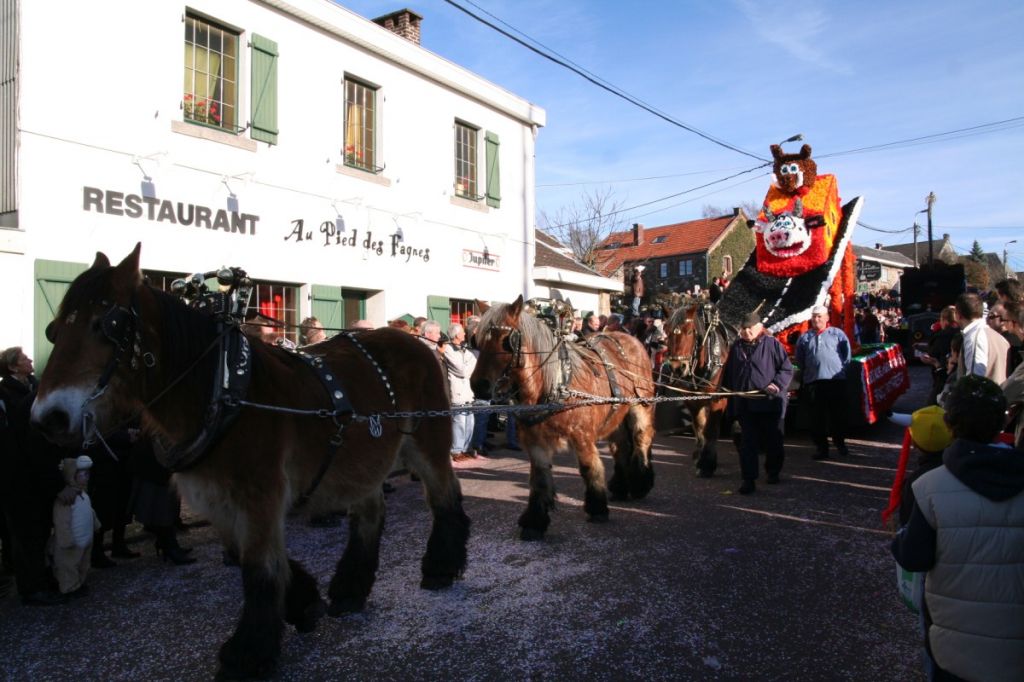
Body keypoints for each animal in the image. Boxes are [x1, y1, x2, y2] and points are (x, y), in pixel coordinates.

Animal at [30, 246, 471, 675]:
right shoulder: (218, 498)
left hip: (427, 443)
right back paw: (350, 589)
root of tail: (413, 341)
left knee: (445, 498)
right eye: (54, 330)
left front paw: (248, 652)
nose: (48, 419)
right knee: (370, 514)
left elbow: (259, 567)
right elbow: (257, 557)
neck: (222, 390)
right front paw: (304, 603)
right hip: (359, 460)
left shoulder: (259, 494)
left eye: (105, 326)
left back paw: (440, 567)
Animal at [471, 294, 655, 540]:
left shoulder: (582, 435)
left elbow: (590, 467)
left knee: (641, 440)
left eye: (506, 341)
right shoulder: (535, 441)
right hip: (615, 415)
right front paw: (535, 521)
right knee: (621, 447)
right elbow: (539, 478)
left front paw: (597, 508)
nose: (479, 386)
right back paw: (620, 487)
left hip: (640, 407)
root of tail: (630, 339)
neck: (555, 383)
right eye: (478, 341)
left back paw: (641, 483)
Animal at [663, 296, 737, 477]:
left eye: (690, 332)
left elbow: (710, 429)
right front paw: (700, 457)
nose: (678, 368)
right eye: (666, 331)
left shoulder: (718, 399)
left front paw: (707, 464)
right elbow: (700, 428)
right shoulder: (692, 401)